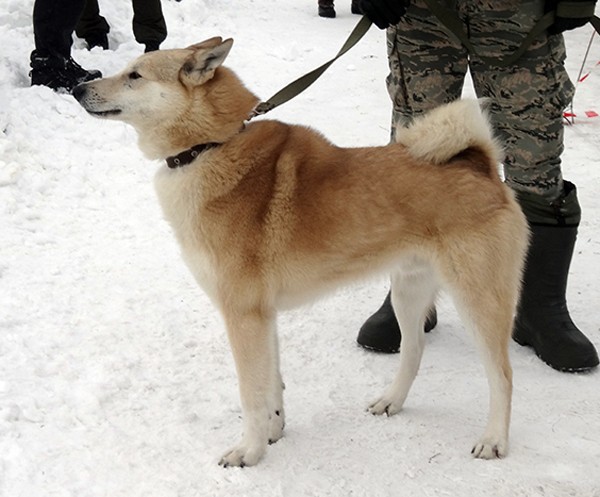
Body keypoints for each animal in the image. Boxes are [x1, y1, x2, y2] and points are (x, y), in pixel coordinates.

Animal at [73, 37, 529, 467]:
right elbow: (272, 385)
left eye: (135, 75)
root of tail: (479, 165)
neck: (211, 145)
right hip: (407, 291)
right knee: (414, 351)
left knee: (503, 376)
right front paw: (274, 431)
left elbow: (251, 393)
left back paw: (494, 439)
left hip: (478, 299)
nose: (78, 87)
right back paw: (391, 401)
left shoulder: (243, 315)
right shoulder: (263, 315)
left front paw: (249, 452)